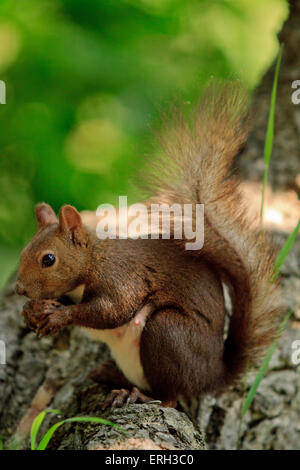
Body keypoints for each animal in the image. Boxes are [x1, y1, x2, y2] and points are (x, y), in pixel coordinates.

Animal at [15, 82, 282, 410]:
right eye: (24, 251)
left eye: (49, 259)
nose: (20, 289)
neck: (94, 261)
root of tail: (210, 376)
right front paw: (32, 310)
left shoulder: (121, 278)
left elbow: (111, 310)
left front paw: (58, 316)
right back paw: (110, 375)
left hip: (167, 333)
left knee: (169, 397)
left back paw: (135, 394)